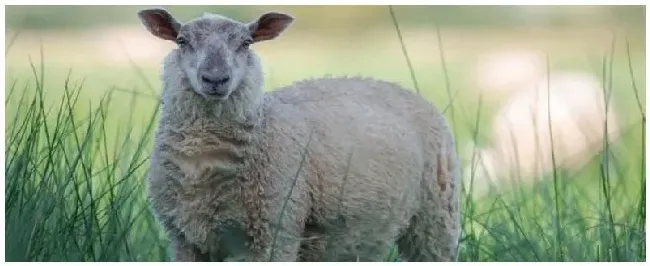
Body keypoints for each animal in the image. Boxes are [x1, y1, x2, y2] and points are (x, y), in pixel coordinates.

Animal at [138, 7, 460, 262]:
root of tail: (397, 86)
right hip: (364, 233)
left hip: (435, 220)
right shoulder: (186, 240)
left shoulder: (275, 233)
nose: (216, 79)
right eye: (182, 41)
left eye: (246, 43)